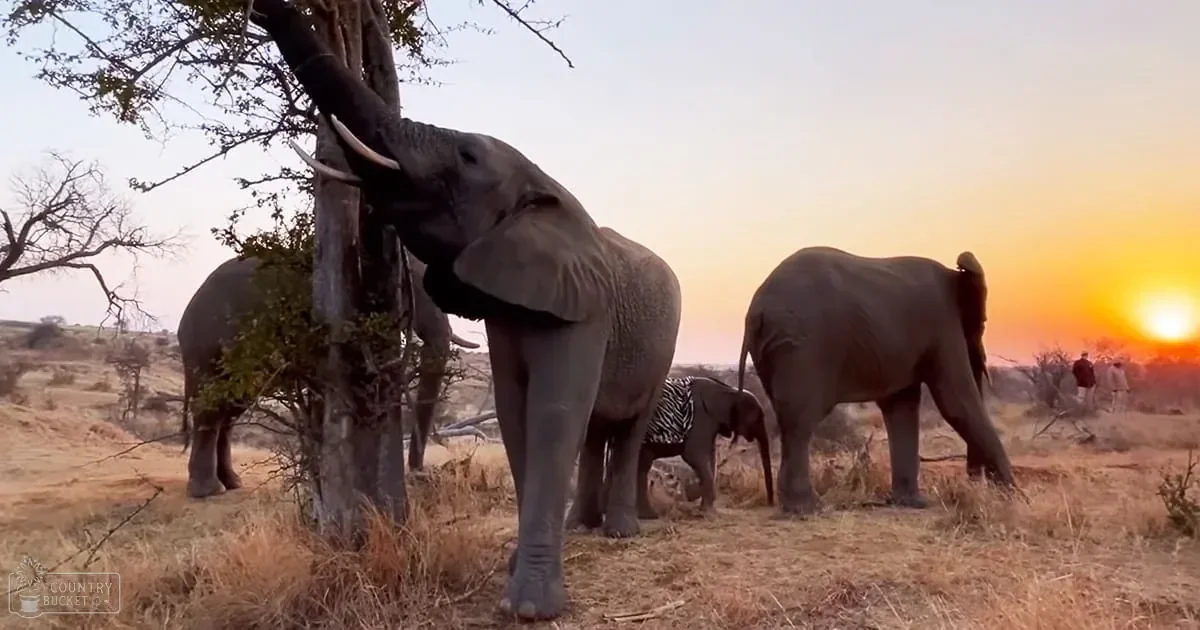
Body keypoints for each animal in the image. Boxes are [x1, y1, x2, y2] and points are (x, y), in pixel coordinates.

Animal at [178, 254, 479, 499]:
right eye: (410, 282)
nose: (419, 474)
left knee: (229, 411)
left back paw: (232, 484)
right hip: (208, 346)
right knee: (211, 408)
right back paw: (209, 491)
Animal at [249, 0, 683, 620]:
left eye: (468, 156)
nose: (261, 10)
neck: (544, 185)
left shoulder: (585, 308)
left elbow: (552, 413)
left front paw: (530, 609)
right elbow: (514, 414)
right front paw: (516, 578)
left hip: (664, 344)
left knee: (628, 428)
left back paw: (620, 534)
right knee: (597, 430)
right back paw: (582, 529)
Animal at [635, 376, 774, 518]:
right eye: (758, 418)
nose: (770, 504)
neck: (731, 390)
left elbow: (710, 458)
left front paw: (700, 503)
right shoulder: (700, 420)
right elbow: (694, 456)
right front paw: (704, 508)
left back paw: (647, 515)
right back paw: (650, 515)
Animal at [736, 246, 1016, 516]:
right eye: (982, 323)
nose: (975, 480)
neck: (955, 274)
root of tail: (757, 310)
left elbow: (901, 407)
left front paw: (912, 503)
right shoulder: (942, 325)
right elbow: (955, 402)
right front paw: (1014, 498)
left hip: (778, 347)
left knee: (788, 419)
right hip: (801, 347)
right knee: (800, 421)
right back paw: (806, 509)